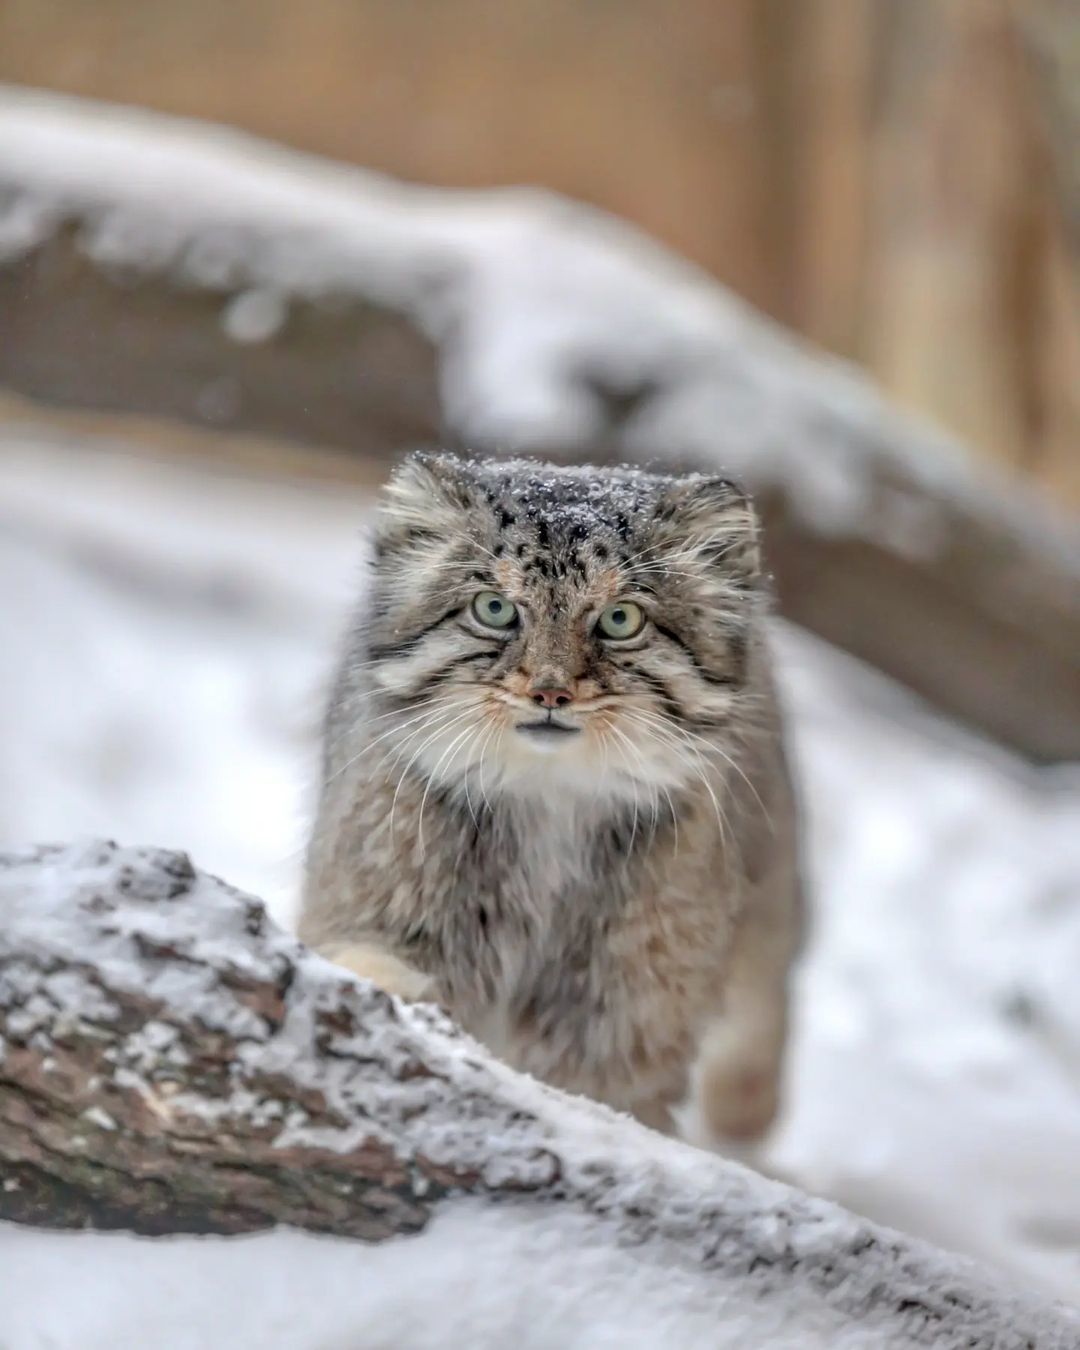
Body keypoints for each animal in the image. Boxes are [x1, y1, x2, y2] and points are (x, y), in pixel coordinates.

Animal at [297, 453, 799, 1139]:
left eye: (620, 620)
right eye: (494, 609)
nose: (551, 692)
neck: (551, 800)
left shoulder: (624, 1017)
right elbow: (366, 961)